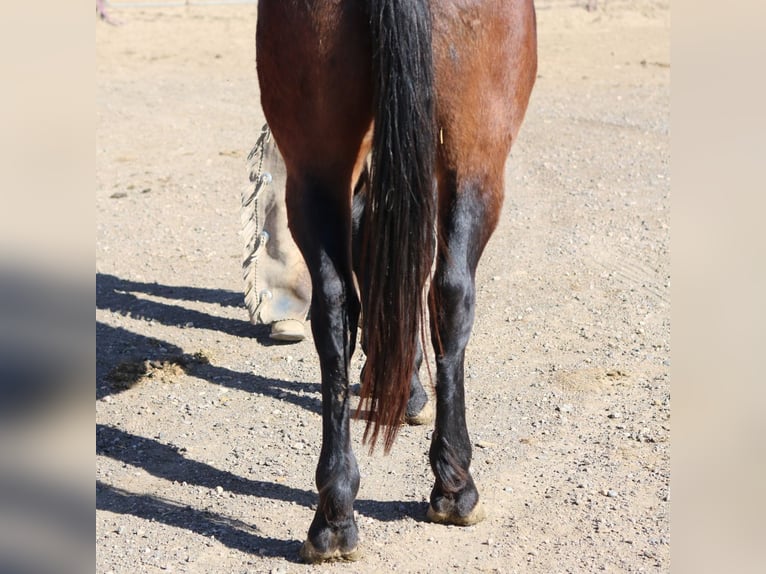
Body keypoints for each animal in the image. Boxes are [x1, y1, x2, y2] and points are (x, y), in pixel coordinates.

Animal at [255, 0, 536, 568]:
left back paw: (335, 514)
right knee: (450, 294)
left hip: (315, 166)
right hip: (479, 157)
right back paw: (455, 486)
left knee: (337, 308)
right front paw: (405, 388)